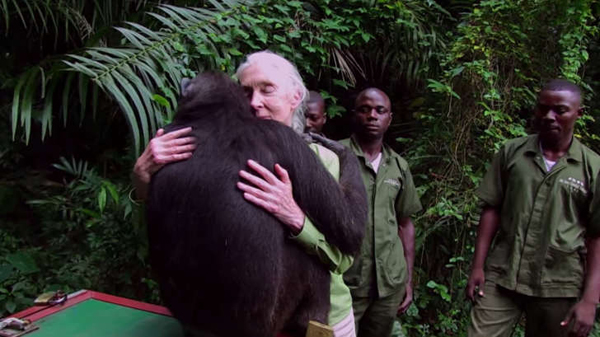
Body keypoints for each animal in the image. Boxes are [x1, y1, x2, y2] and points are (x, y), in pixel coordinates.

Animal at [146, 71, 366, 336]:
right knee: (313, 258)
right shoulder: (286, 139)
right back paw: (312, 319)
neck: (217, 115)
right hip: (277, 315)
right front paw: (343, 150)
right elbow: (350, 226)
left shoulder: (168, 132)